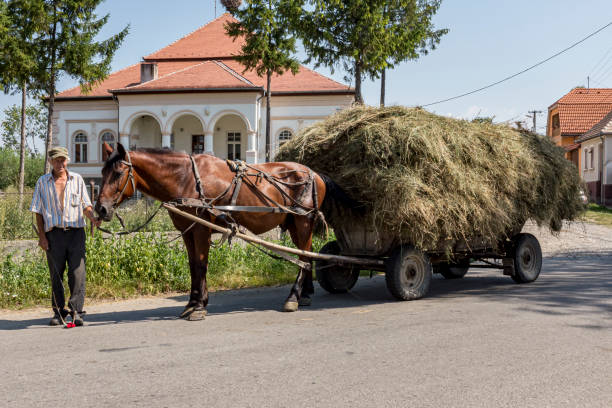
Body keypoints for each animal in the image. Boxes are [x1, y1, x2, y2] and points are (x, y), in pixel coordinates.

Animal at [96, 142, 332, 320]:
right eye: (102, 172)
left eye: (118, 173)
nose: (101, 209)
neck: (186, 179)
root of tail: (315, 173)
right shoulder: (187, 230)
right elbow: (192, 265)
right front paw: (192, 303)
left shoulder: (201, 228)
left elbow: (201, 264)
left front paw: (199, 306)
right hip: (295, 224)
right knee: (306, 255)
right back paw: (305, 294)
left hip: (303, 221)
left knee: (304, 257)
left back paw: (293, 297)